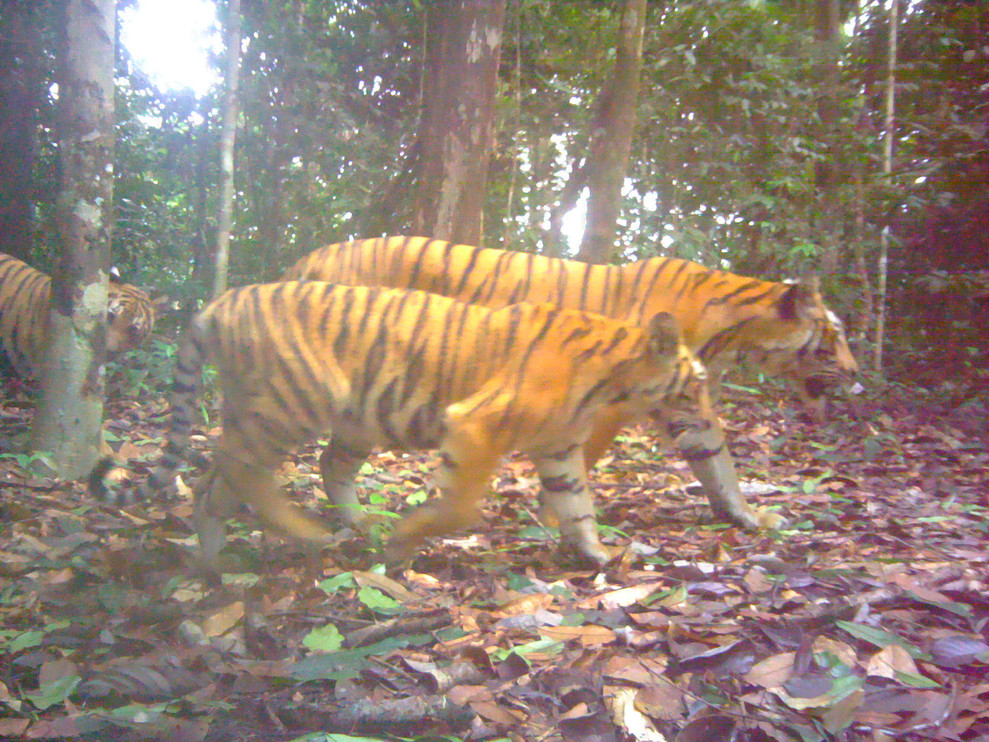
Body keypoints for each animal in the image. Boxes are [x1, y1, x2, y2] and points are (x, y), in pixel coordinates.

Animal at [89, 281, 731, 568]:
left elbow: (577, 506)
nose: (710, 417)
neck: (613, 377)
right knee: (235, 466)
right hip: (299, 401)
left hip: (338, 419)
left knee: (229, 478)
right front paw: (406, 538)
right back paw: (311, 534)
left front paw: (598, 556)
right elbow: (462, 505)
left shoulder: (560, 449)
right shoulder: (477, 424)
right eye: (697, 382)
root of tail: (218, 303)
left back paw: (217, 554)